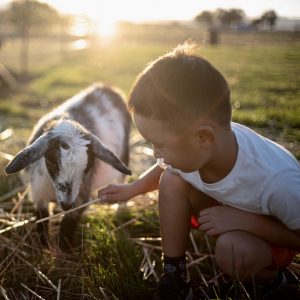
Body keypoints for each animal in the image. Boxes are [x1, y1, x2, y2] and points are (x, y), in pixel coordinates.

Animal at [4, 83, 131, 250]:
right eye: (52, 163)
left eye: (88, 167)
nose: (66, 204)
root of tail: (106, 87)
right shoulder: (39, 192)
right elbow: (42, 220)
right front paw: (44, 246)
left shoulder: (81, 196)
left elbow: (68, 223)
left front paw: (64, 249)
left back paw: (121, 208)